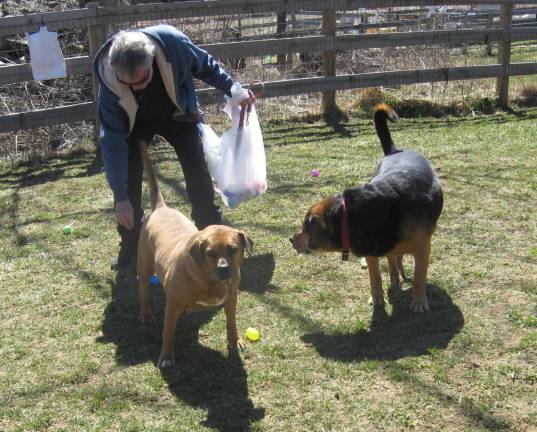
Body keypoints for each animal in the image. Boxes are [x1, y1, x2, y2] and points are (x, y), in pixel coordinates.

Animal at [134, 142, 251, 368]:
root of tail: (160, 207)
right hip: (144, 267)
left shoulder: (231, 298)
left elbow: (231, 322)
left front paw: (235, 341)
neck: (209, 280)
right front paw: (166, 356)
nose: (224, 269)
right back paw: (145, 314)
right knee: (143, 291)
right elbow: (167, 332)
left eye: (233, 249)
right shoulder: (172, 307)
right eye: (210, 253)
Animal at [292, 105, 442, 314]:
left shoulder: (423, 249)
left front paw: (419, 301)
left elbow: (420, 277)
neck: (350, 215)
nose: (291, 239)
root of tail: (395, 151)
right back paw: (395, 275)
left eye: (306, 228)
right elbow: (375, 277)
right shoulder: (371, 251)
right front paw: (377, 298)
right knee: (393, 257)